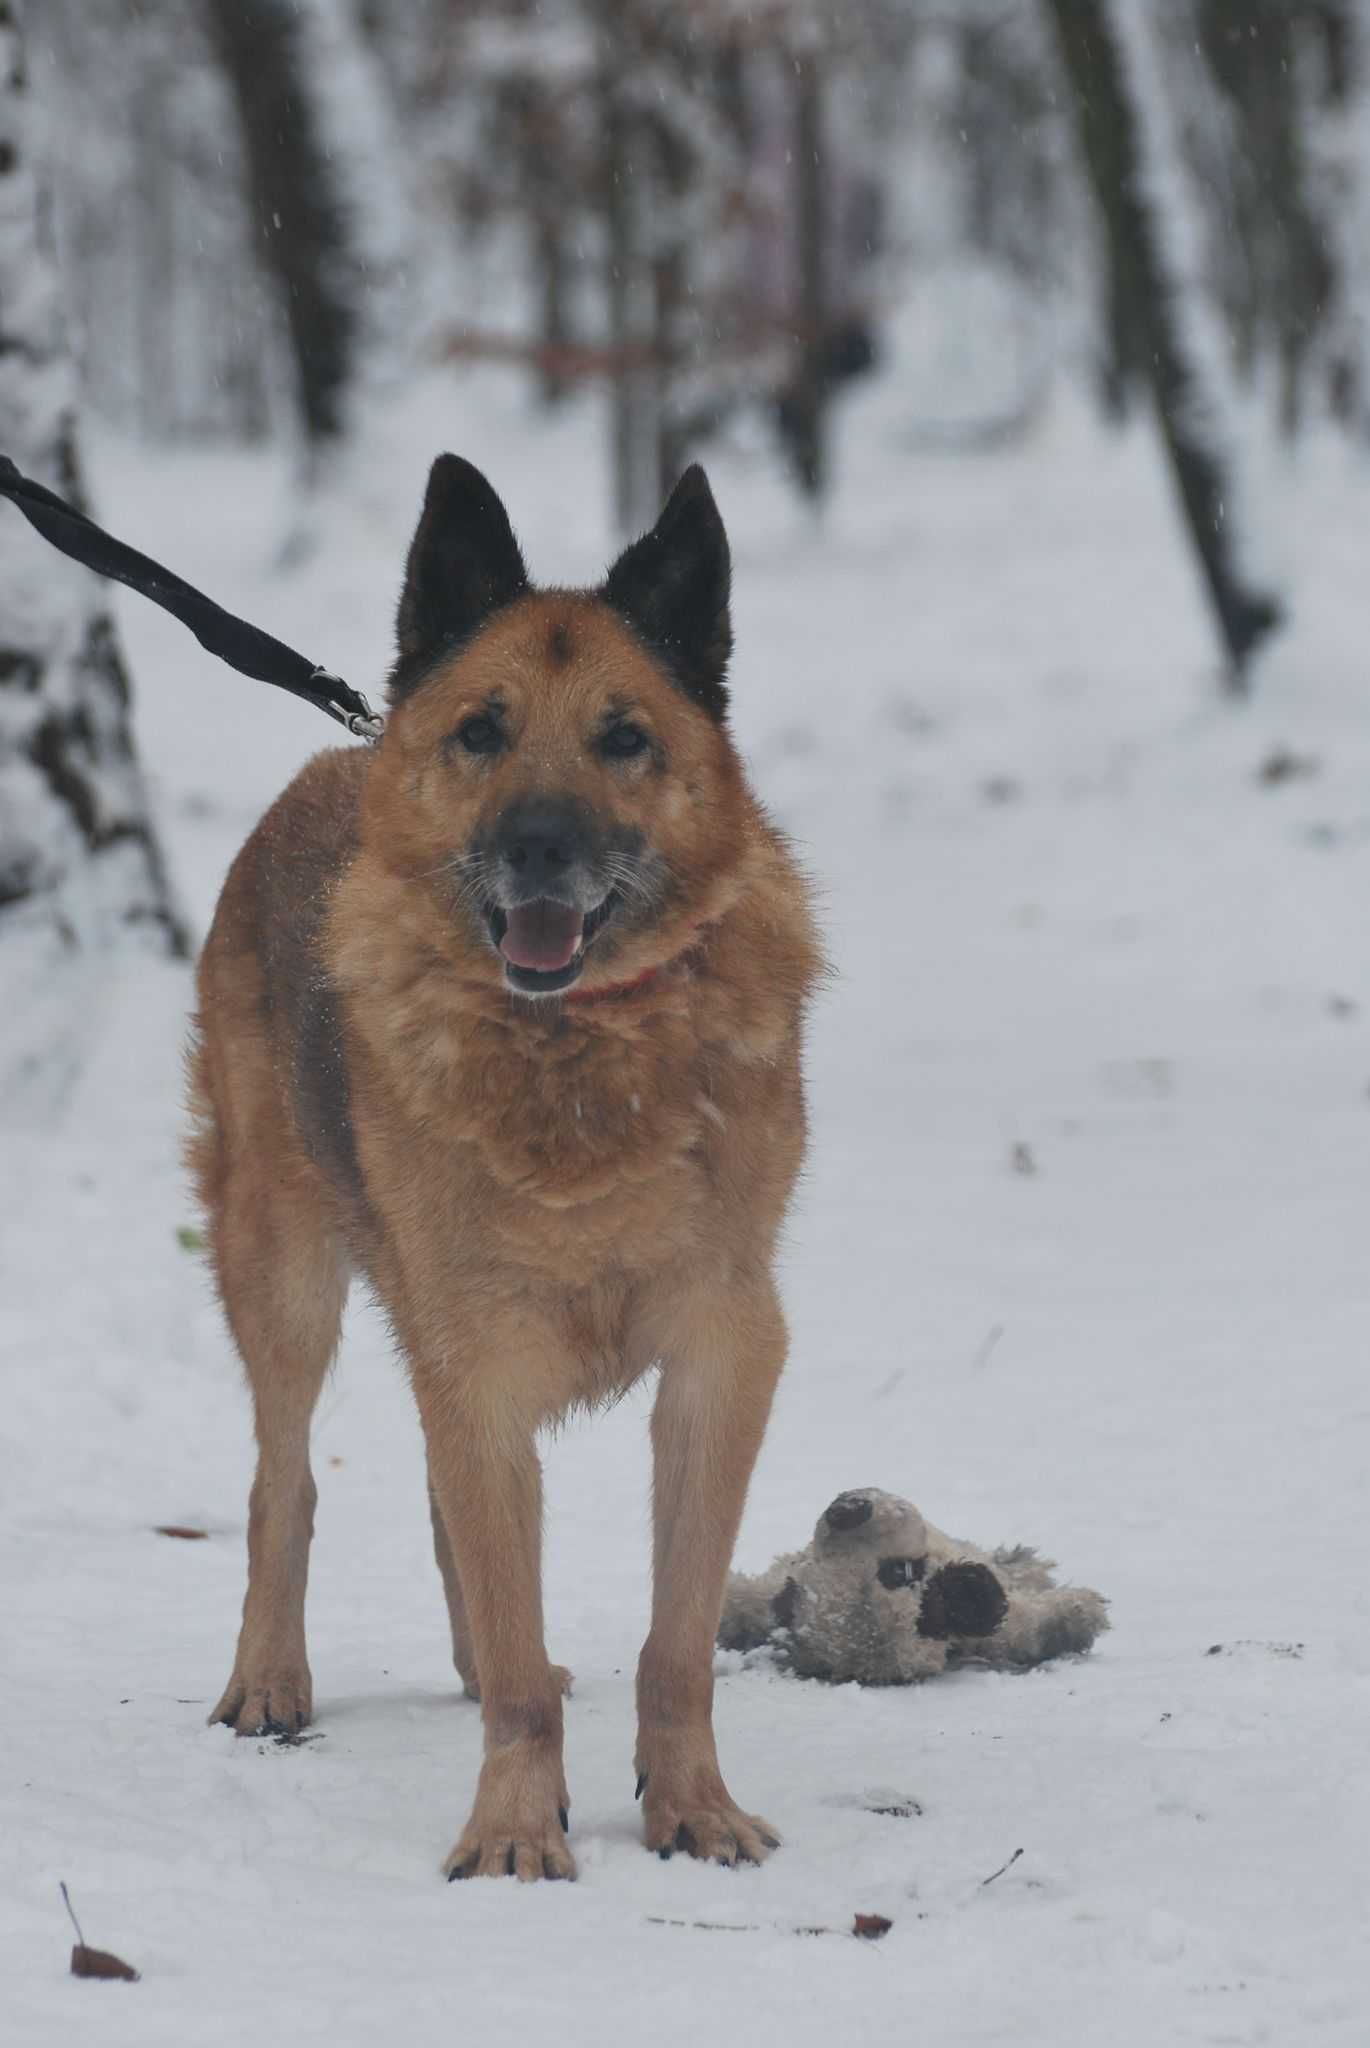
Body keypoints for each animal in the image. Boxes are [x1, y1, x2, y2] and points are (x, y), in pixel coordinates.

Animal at [187, 460, 819, 1884]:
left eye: (622, 738)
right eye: (482, 730)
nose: (536, 844)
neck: (577, 1055)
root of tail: (339, 750)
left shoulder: (719, 1353)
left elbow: (676, 1639)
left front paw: (689, 1805)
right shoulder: (476, 1358)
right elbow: (513, 1638)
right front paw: (515, 1829)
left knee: (444, 1519)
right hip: (282, 1271)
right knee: (281, 1481)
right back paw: (271, 1675)